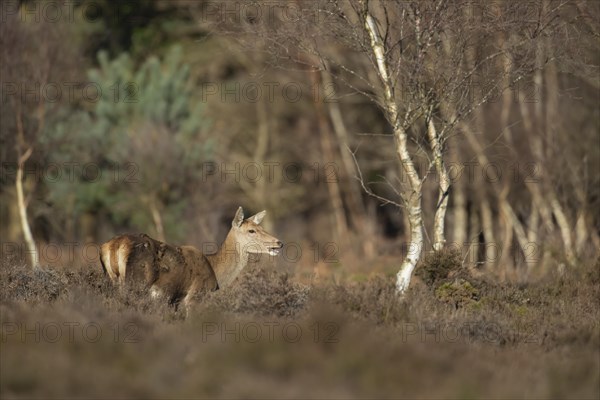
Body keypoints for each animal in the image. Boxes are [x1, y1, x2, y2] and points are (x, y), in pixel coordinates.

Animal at [100, 206, 284, 306]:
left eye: (260, 227)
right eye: (251, 230)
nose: (279, 243)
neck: (215, 274)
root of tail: (114, 246)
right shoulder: (195, 296)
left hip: (112, 280)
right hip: (136, 284)